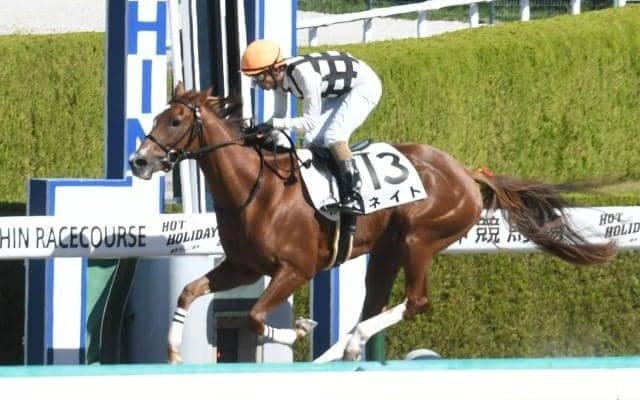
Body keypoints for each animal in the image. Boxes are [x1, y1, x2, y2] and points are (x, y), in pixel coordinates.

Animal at [128, 82, 617, 363]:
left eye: (176, 120)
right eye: (156, 117)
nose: (139, 161)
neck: (257, 188)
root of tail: (467, 173)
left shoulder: (295, 269)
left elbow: (252, 315)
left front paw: (299, 329)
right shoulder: (243, 267)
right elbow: (189, 291)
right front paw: (172, 351)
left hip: (421, 238)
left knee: (414, 302)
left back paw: (351, 342)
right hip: (385, 250)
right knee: (374, 304)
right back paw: (341, 350)